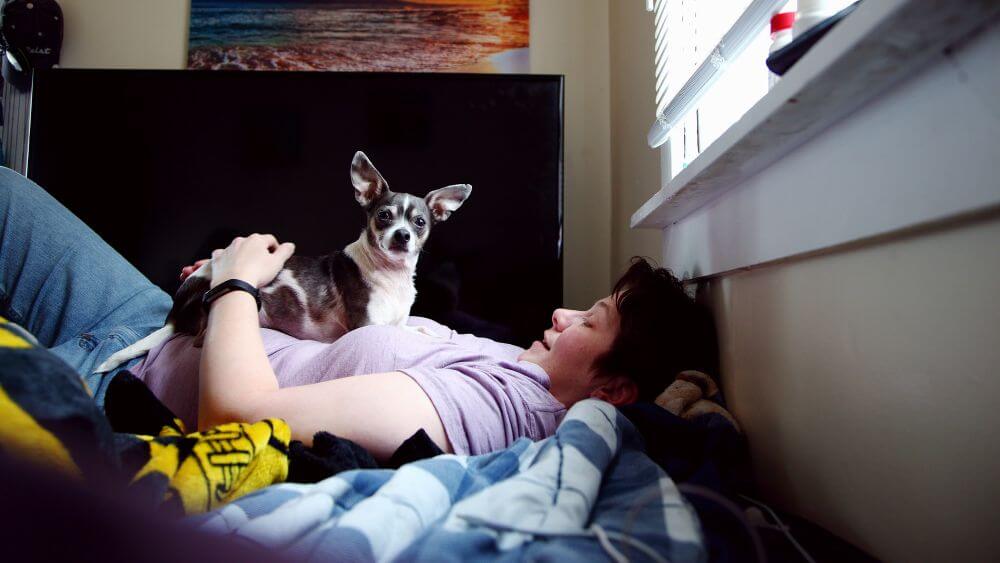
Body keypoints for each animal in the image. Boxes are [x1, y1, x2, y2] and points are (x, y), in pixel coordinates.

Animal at [95, 152, 470, 376]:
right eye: (384, 216)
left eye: (419, 222)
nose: (402, 236)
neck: (390, 275)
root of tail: (176, 313)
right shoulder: (367, 326)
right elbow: (410, 336)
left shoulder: (396, 321)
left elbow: (415, 329)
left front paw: (435, 334)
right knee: (200, 340)